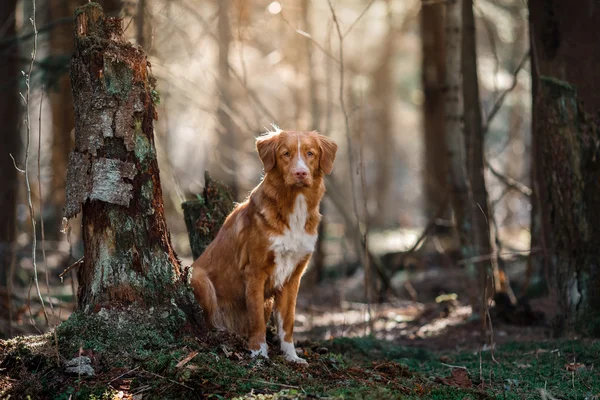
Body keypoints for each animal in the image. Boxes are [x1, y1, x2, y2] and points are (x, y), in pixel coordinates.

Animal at [190, 128, 336, 362]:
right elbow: (257, 318)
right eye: (286, 154)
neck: (294, 206)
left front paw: (291, 356)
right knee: (211, 319)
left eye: (310, 153)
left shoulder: (292, 278)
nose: (300, 173)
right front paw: (258, 352)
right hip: (199, 278)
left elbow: (288, 322)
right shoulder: (255, 272)